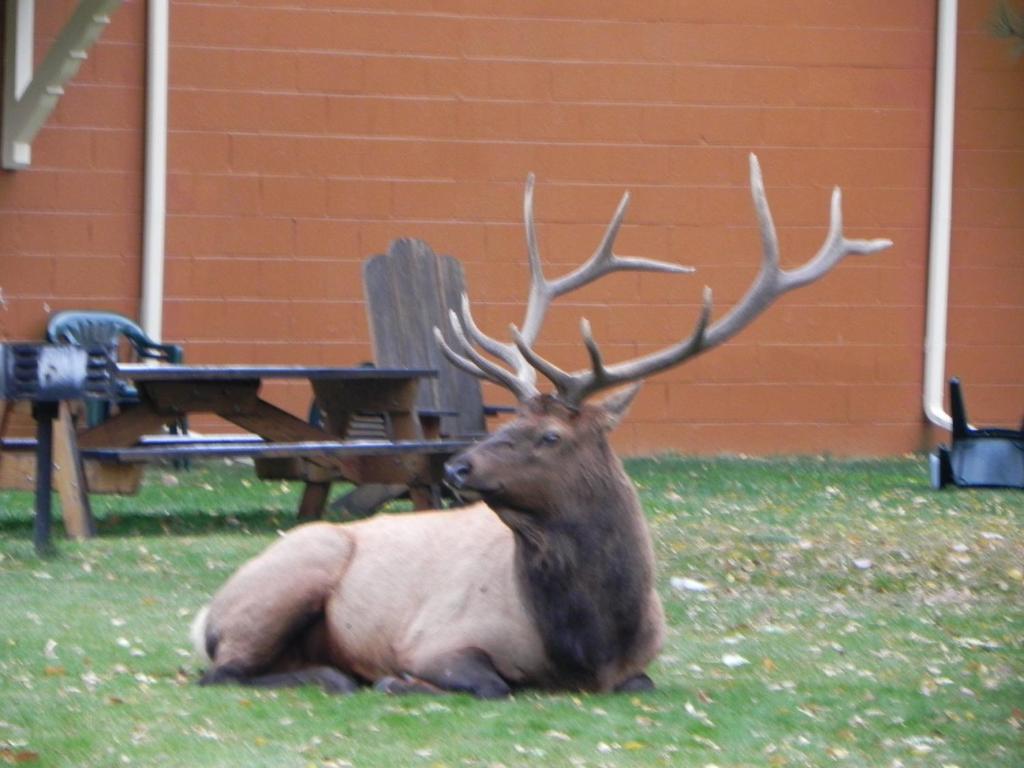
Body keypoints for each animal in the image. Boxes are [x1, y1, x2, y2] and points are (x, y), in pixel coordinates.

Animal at [190, 154, 888, 696]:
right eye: (514, 424)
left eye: (550, 436)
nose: (457, 465)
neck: (588, 640)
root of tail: (204, 617)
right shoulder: (437, 637)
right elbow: (488, 683)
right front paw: (395, 680)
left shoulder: (638, 667)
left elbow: (641, 682)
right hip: (292, 573)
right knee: (223, 671)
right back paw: (334, 675)